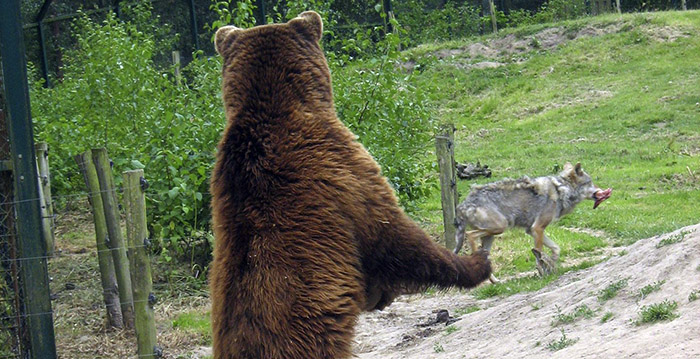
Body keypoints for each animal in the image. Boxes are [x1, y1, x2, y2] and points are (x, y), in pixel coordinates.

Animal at [454, 162, 608, 282]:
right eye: (590, 182)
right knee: (470, 235)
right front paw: (542, 271)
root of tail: (462, 205)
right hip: (499, 227)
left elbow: (556, 248)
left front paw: (551, 262)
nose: (601, 191)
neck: (561, 190)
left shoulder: (531, 230)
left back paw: (495, 281)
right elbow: (538, 252)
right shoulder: (537, 228)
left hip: (491, 236)